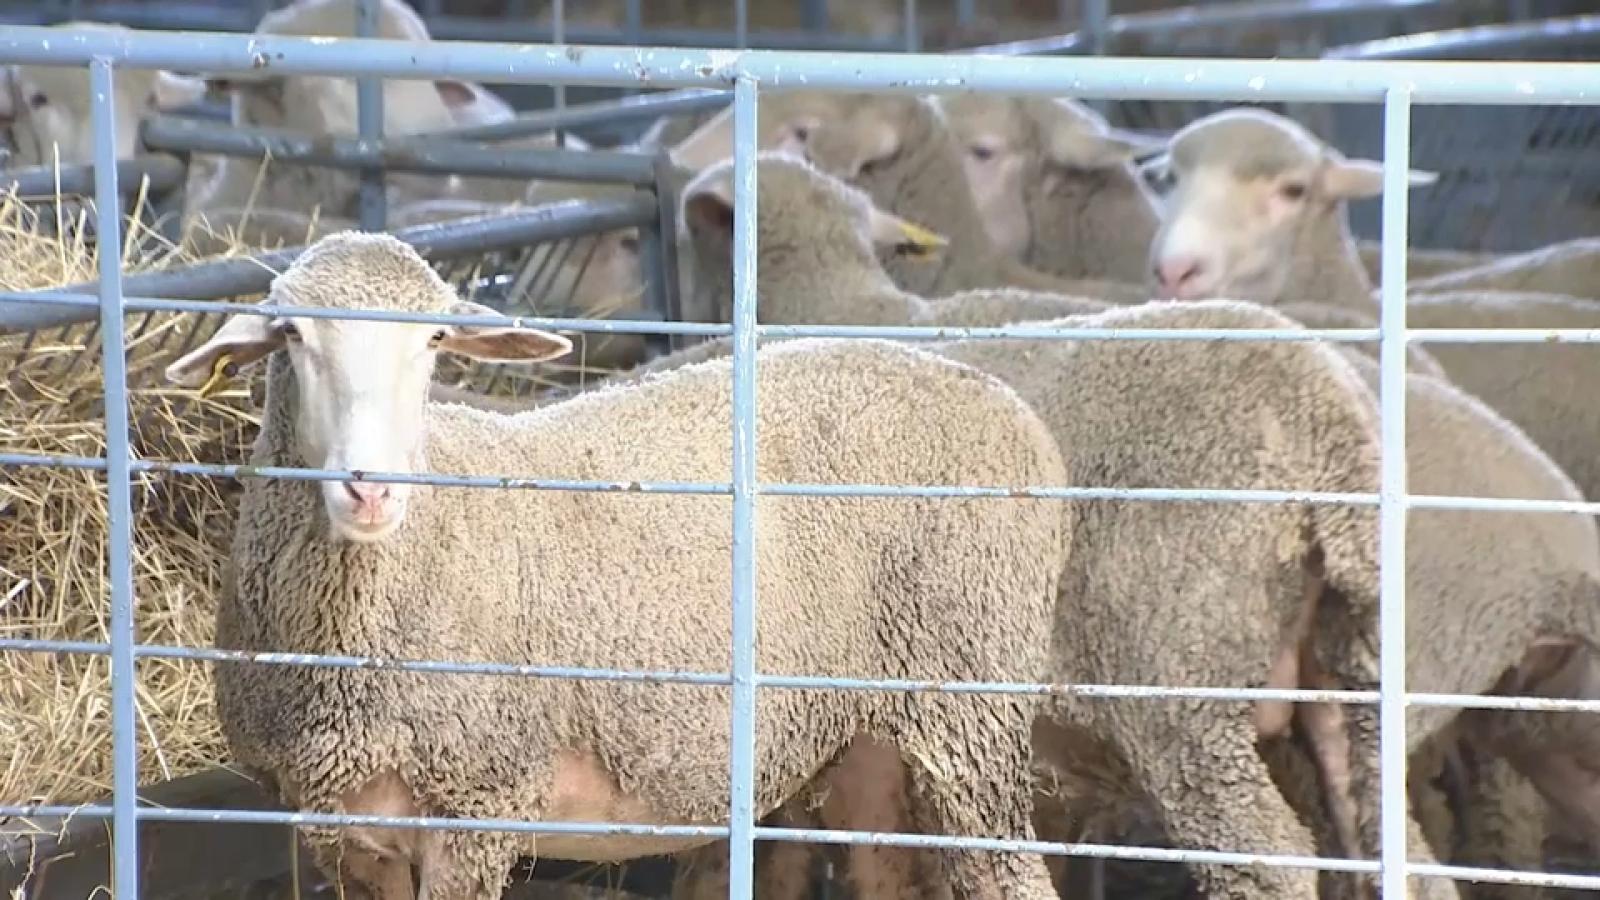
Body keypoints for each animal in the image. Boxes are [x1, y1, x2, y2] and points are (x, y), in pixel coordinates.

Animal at [162, 230, 1072, 900]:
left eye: (436, 337)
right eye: (291, 334)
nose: (371, 489)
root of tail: (1005, 403)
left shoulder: (477, 800)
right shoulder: (339, 824)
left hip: (972, 698)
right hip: (871, 729)